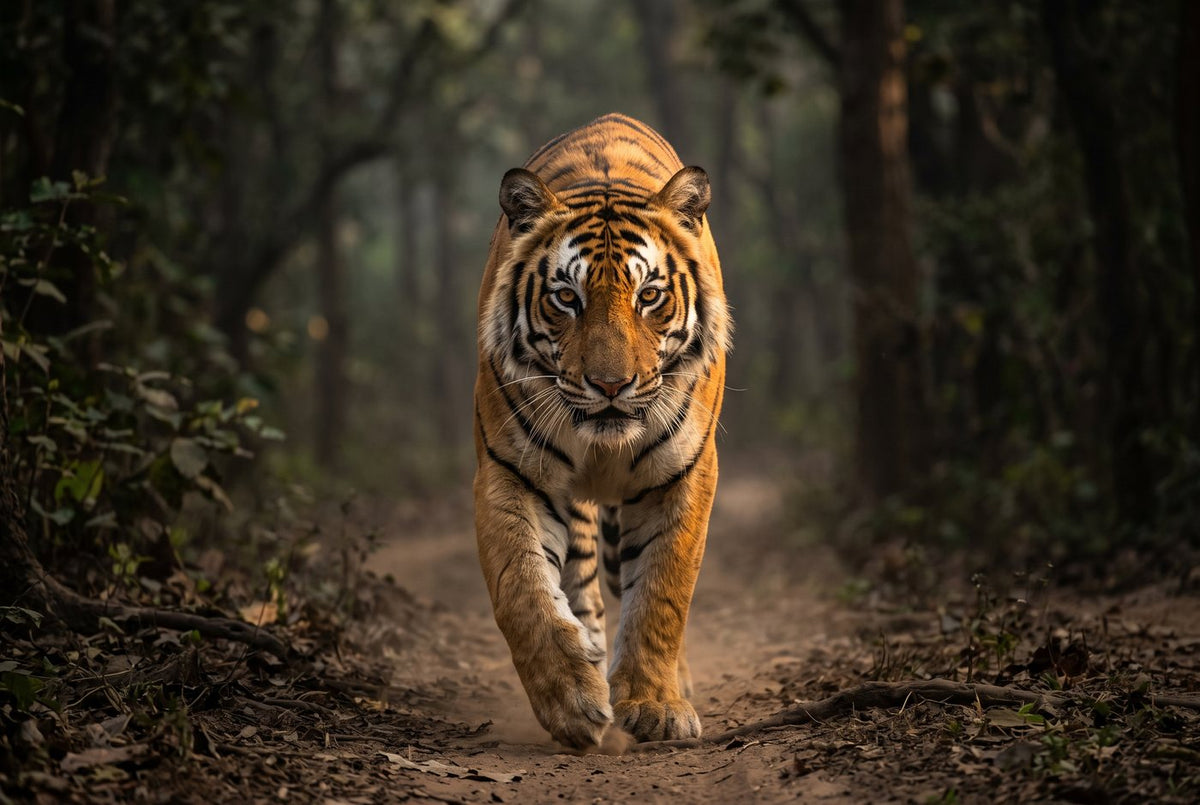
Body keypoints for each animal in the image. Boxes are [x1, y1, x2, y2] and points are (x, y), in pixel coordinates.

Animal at [473, 112, 731, 749]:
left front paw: (656, 706)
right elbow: (523, 592)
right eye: (567, 297)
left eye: (649, 296)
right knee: (580, 580)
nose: (612, 385)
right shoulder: (508, 470)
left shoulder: (684, 474)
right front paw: (572, 702)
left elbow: (663, 593)